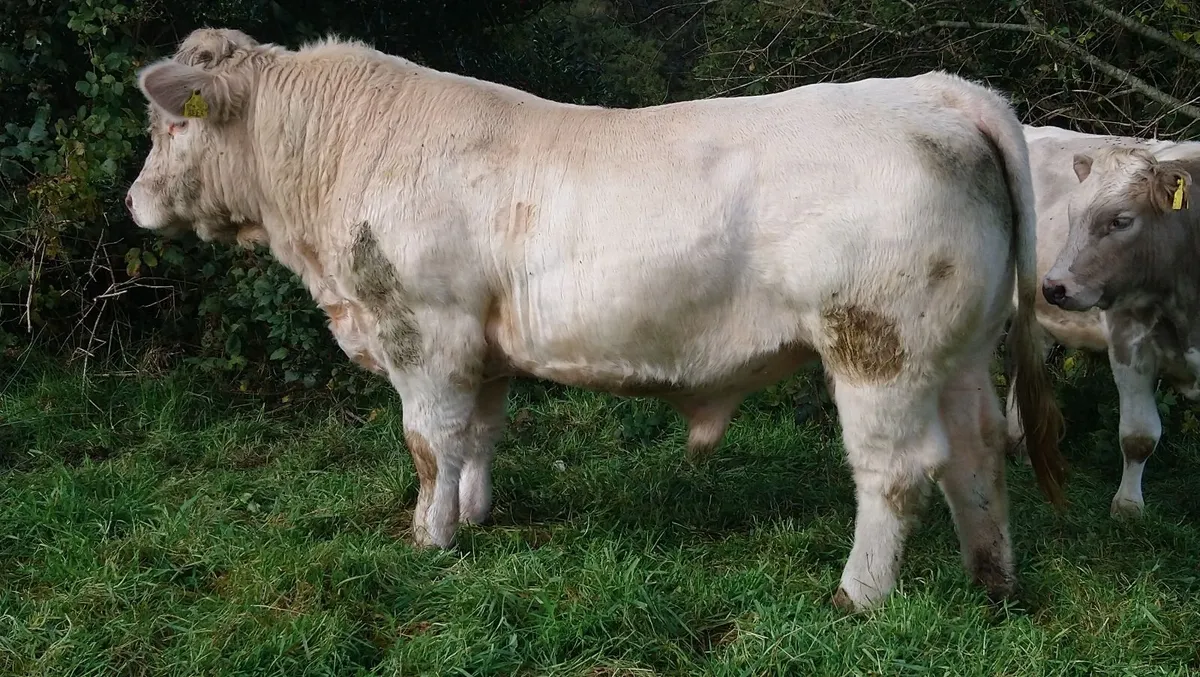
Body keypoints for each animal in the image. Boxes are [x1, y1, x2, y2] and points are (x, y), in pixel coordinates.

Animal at [125, 28, 1066, 611]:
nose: (133, 200)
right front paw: (474, 517)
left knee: (898, 471)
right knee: (977, 452)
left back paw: (859, 594)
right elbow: (478, 435)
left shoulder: (424, 329)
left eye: (168, 126)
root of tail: (937, 91)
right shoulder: (481, 348)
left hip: (878, 345)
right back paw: (993, 579)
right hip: (960, 351)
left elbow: (429, 443)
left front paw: (429, 538)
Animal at [1006, 123, 1200, 518]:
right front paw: (1128, 506)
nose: (1055, 286)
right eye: (1072, 214)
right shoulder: (1129, 342)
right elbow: (1139, 435)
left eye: (1120, 221)